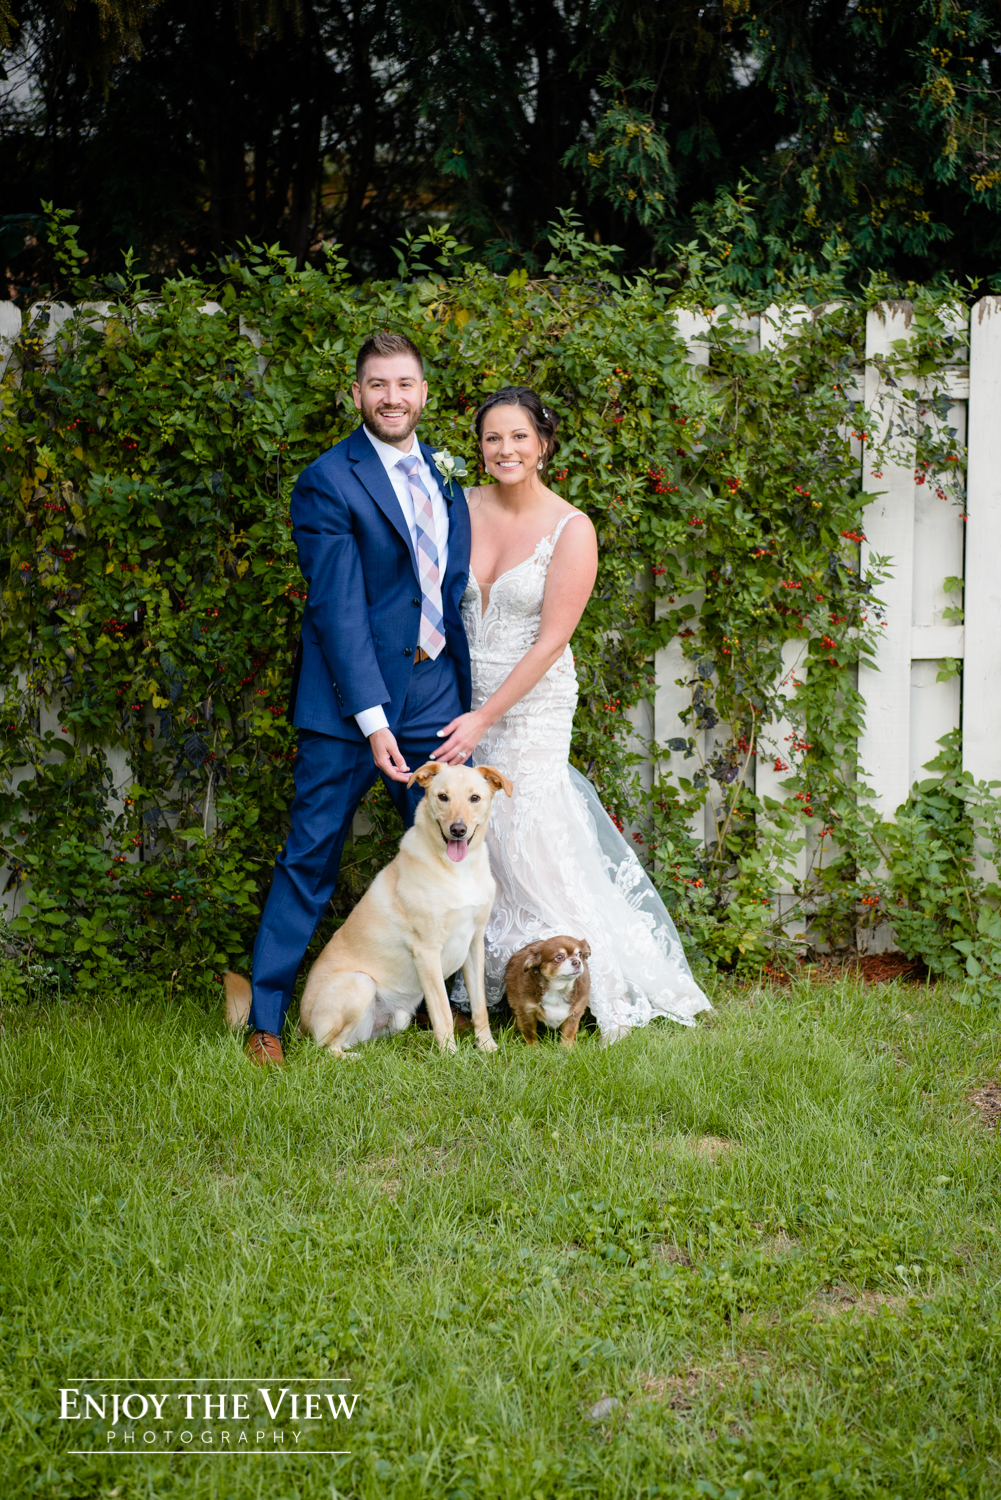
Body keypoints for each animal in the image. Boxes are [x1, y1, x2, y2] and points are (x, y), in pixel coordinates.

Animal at [225, 760, 512, 1056]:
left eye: (474, 798)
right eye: (443, 797)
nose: (458, 829)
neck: (458, 869)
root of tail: (300, 1026)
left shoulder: (474, 944)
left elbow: (479, 1007)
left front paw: (487, 1047)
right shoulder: (427, 950)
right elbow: (442, 1011)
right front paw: (451, 1056)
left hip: (398, 1018)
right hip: (361, 983)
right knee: (325, 1048)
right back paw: (353, 1058)